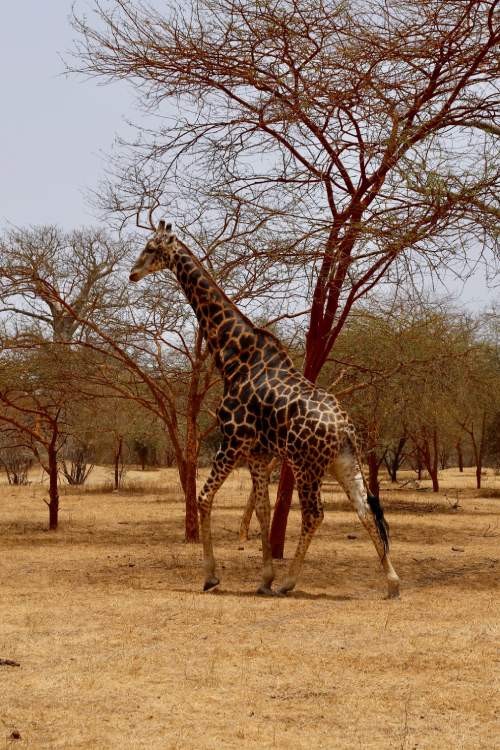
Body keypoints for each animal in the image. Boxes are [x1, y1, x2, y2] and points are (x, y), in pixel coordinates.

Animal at [130, 222, 402, 600]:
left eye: (152, 248)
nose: (133, 273)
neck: (232, 355)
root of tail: (344, 427)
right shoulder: (258, 453)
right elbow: (262, 509)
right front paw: (263, 579)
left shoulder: (233, 440)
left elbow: (203, 498)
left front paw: (212, 577)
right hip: (343, 460)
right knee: (365, 508)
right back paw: (392, 583)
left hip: (305, 463)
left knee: (315, 513)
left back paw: (290, 582)